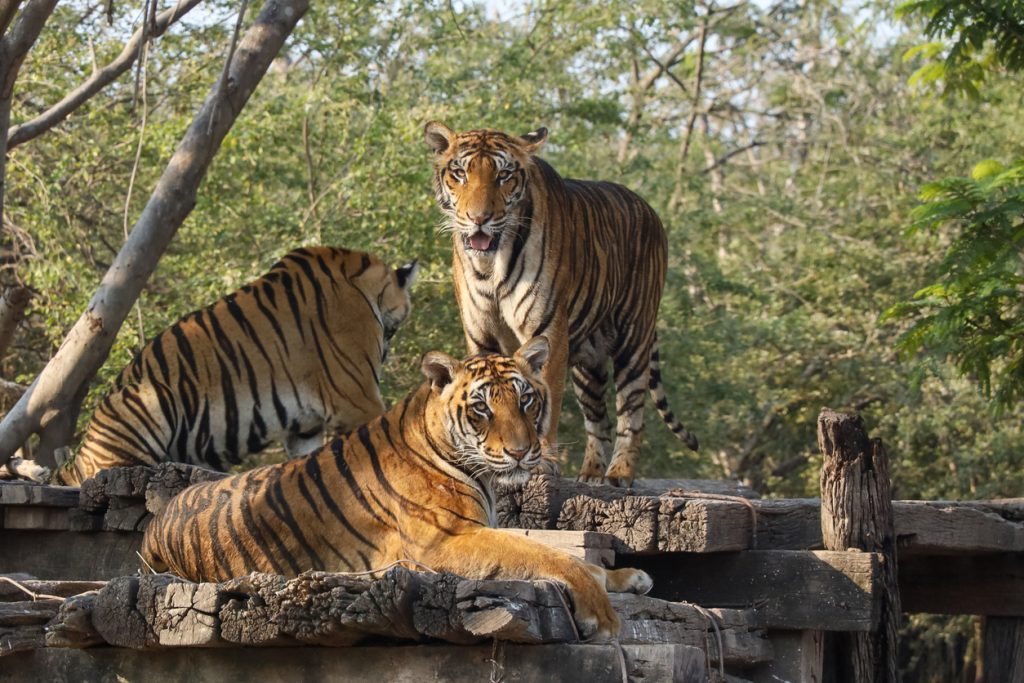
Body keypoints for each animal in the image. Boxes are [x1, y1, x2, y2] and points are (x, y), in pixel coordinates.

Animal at [141, 337, 653, 640]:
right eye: (482, 408)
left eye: (526, 400)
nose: (522, 452)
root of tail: (160, 515)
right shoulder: (444, 541)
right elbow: (549, 556)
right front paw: (602, 614)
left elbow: (563, 553)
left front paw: (627, 577)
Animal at [423, 121, 699, 487]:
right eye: (460, 174)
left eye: (503, 175)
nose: (479, 218)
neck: (490, 264)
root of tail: (650, 209)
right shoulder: (481, 334)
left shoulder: (548, 330)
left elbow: (547, 400)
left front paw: (541, 464)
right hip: (588, 364)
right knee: (598, 420)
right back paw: (590, 474)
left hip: (634, 339)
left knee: (631, 413)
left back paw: (619, 474)